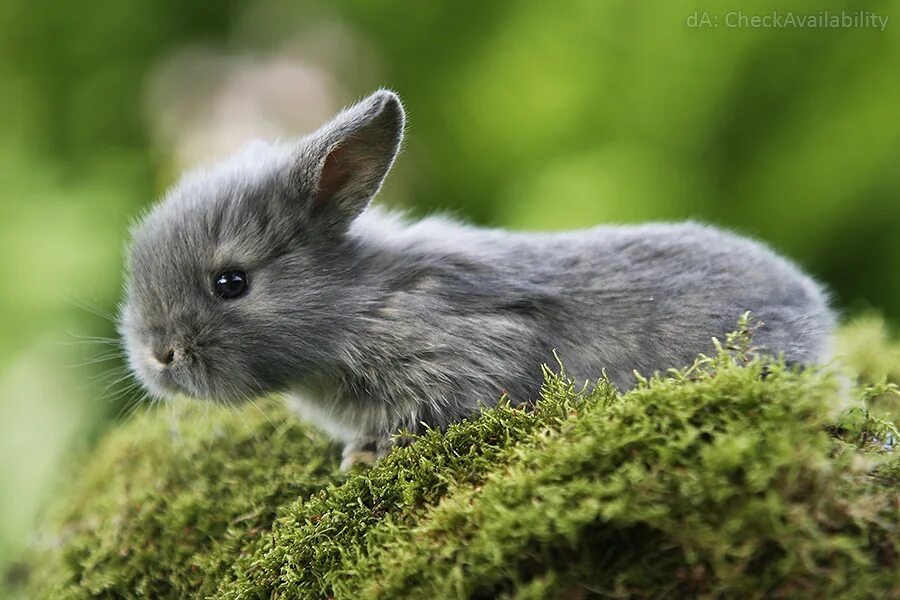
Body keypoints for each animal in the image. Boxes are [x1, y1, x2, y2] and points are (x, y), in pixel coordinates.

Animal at [119, 91, 836, 472]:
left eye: (230, 282)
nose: (158, 356)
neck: (363, 305)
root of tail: (817, 313)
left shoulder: (466, 352)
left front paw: (365, 457)